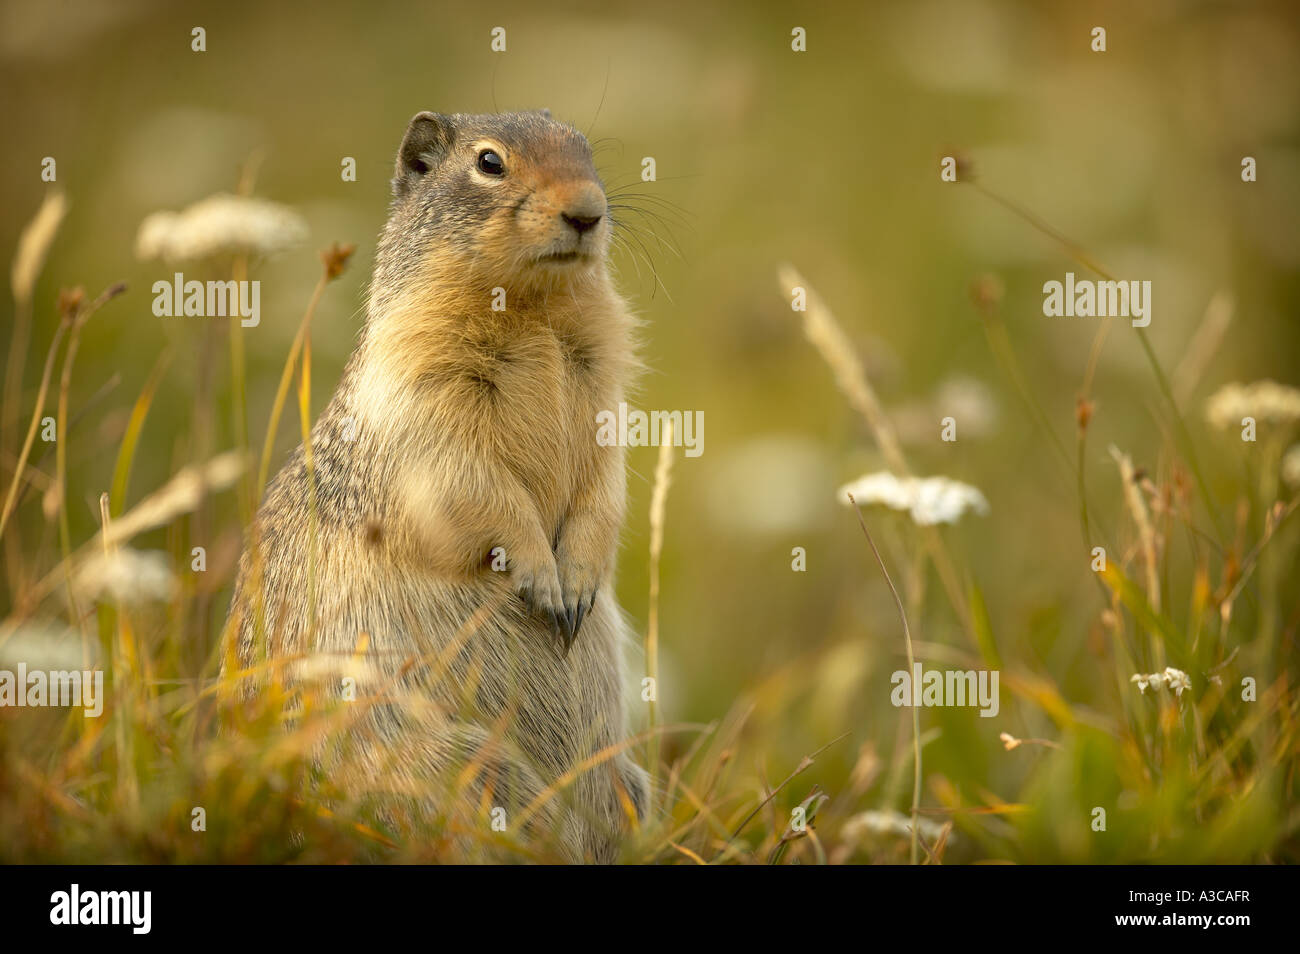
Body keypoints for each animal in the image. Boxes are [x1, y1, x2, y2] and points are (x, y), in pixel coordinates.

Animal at [223, 109, 650, 862]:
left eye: (585, 150)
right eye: (489, 163)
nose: (588, 212)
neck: (536, 311)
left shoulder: (605, 388)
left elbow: (604, 486)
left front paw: (577, 582)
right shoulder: (424, 394)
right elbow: (475, 485)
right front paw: (541, 578)